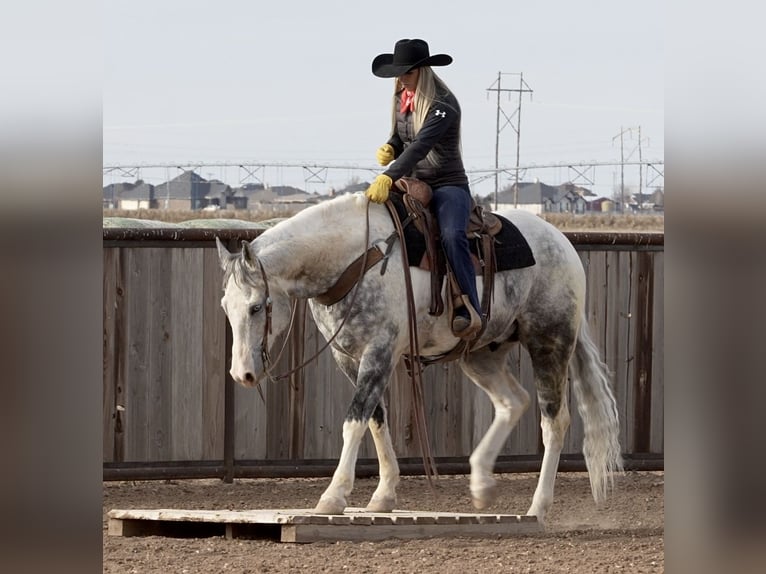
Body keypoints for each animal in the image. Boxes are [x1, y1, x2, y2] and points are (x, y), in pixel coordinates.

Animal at [216, 194, 624, 528]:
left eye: (256, 307)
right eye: (225, 306)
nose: (242, 373)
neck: (355, 257)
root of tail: (562, 242)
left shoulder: (379, 352)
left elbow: (354, 421)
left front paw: (333, 496)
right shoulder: (348, 358)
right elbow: (376, 420)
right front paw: (382, 497)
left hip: (549, 342)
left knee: (554, 421)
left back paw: (537, 507)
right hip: (482, 355)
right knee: (513, 402)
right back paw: (481, 485)